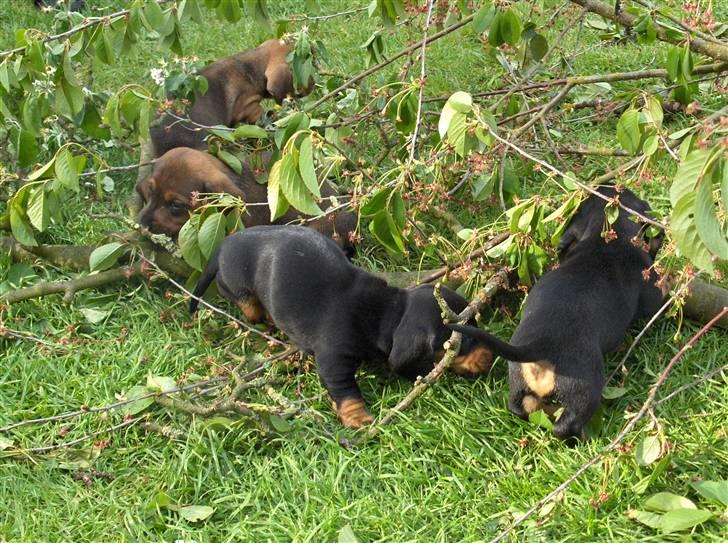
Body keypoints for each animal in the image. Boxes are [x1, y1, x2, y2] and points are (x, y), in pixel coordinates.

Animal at [191, 225, 492, 430]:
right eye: (462, 342)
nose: (491, 358)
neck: (386, 312)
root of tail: (224, 244)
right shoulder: (333, 360)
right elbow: (346, 391)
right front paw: (359, 419)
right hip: (240, 292)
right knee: (250, 309)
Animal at [450, 187, 664, 442]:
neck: (604, 242)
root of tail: (539, 345)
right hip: (584, 387)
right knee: (566, 425)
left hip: (518, 380)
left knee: (519, 407)